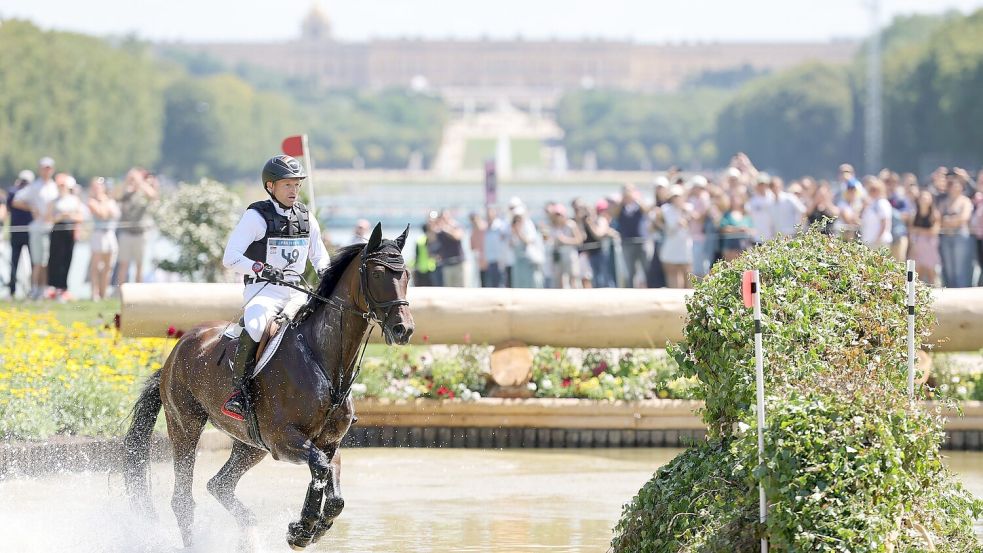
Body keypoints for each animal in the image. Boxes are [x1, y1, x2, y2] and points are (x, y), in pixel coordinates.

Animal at [124, 223, 416, 548]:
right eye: (377, 273)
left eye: (406, 274)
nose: (403, 329)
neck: (326, 364)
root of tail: (177, 350)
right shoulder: (284, 439)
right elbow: (320, 469)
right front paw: (302, 528)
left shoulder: (328, 444)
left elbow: (333, 491)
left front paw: (309, 528)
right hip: (185, 426)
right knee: (183, 500)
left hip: (251, 446)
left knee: (219, 484)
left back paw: (248, 526)